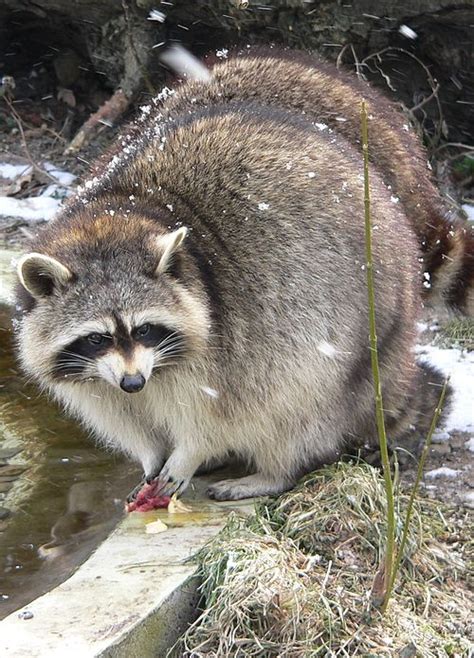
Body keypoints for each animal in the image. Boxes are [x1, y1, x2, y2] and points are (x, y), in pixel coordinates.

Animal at [15, 89, 443, 500]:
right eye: (96, 338)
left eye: (144, 329)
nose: (133, 383)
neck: (116, 216)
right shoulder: (95, 378)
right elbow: (127, 418)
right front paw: (151, 455)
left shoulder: (226, 335)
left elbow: (220, 414)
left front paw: (189, 455)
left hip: (359, 329)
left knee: (300, 404)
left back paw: (275, 472)